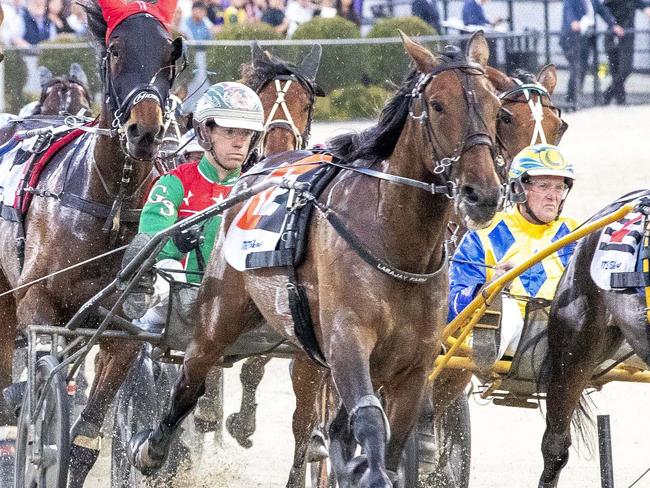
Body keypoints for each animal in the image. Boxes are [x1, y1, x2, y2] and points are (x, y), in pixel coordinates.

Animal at [0, 1, 185, 486]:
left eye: (171, 55)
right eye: (115, 50)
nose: (144, 131)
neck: (107, 203)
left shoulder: (124, 330)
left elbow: (84, 437)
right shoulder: (37, 305)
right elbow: (38, 397)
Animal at [126, 32, 498, 486]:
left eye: (495, 106)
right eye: (439, 105)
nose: (482, 194)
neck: (396, 243)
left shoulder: (414, 363)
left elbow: (388, 439)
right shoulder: (347, 340)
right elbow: (367, 421)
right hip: (220, 313)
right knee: (192, 379)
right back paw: (152, 449)